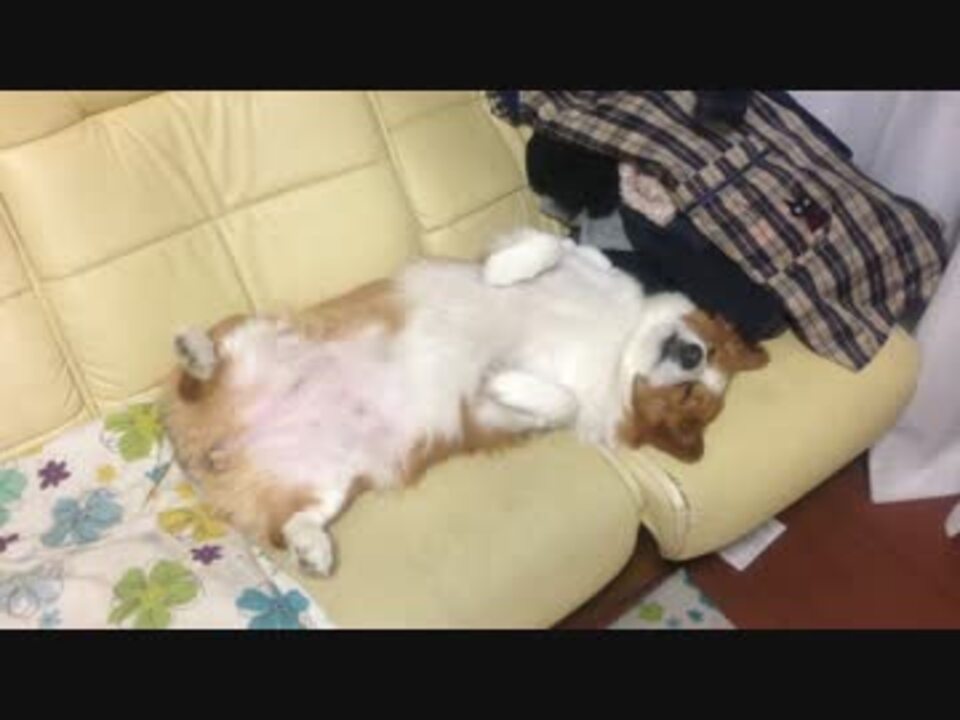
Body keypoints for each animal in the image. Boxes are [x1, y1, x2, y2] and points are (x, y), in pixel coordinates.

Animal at [161, 228, 768, 576]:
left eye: (691, 394)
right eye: (707, 351)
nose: (691, 354)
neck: (618, 343)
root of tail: (215, 449)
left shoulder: (495, 413)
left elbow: (559, 399)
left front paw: (507, 380)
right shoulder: (570, 257)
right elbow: (556, 244)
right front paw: (506, 272)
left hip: (333, 481)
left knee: (291, 524)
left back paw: (313, 548)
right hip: (258, 336)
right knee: (205, 370)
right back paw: (197, 352)